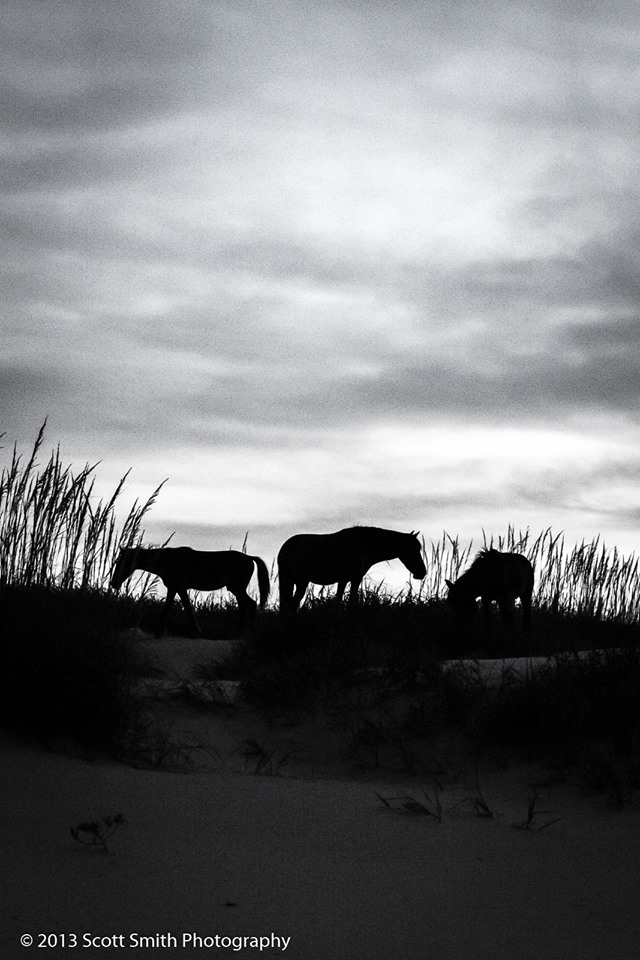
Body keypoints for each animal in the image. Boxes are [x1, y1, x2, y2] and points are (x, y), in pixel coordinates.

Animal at [110, 548, 270, 636]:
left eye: (121, 561)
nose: (113, 583)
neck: (168, 560)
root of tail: (249, 558)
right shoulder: (177, 588)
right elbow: (180, 607)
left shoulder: (177, 587)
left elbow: (178, 608)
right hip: (236, 589)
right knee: (244, 606)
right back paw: (240, 631)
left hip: (237, 588)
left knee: (251, 604)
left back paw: (250, 632)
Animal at [278, 528, 428, 612]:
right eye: (411, 550)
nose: (422, 573)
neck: (363, 545)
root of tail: (284, 548)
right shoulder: (350, 578)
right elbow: (347, 599)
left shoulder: (350, 579)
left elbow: (345, 598)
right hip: (295, 581)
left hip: (296, 582)